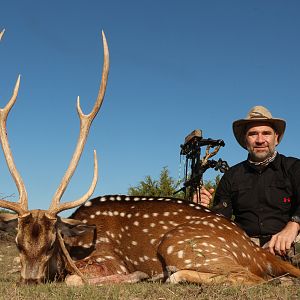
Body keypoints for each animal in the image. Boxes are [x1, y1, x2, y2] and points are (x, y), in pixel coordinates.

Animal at [0, 28, 300, 286]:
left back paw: (169, 276)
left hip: (179, 244)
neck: (75, 248)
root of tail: (256, 250)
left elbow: (75, 279)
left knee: (250, 278)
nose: (31, 280)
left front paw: (138, 275)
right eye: (18, 243)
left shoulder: (109, 259)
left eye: (52, 243)